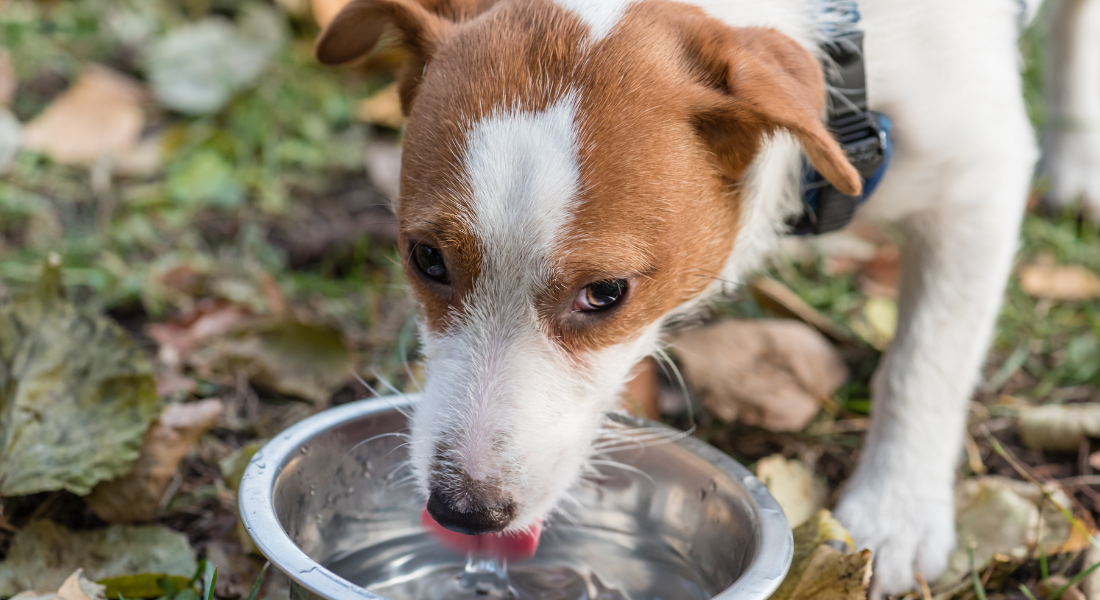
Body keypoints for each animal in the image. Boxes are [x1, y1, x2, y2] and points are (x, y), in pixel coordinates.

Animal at [314, 1, 1100, 594]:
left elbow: (923, 365)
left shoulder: (980, 182)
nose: (463, 511)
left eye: (606, 293)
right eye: (426, 258)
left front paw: (897, 510)